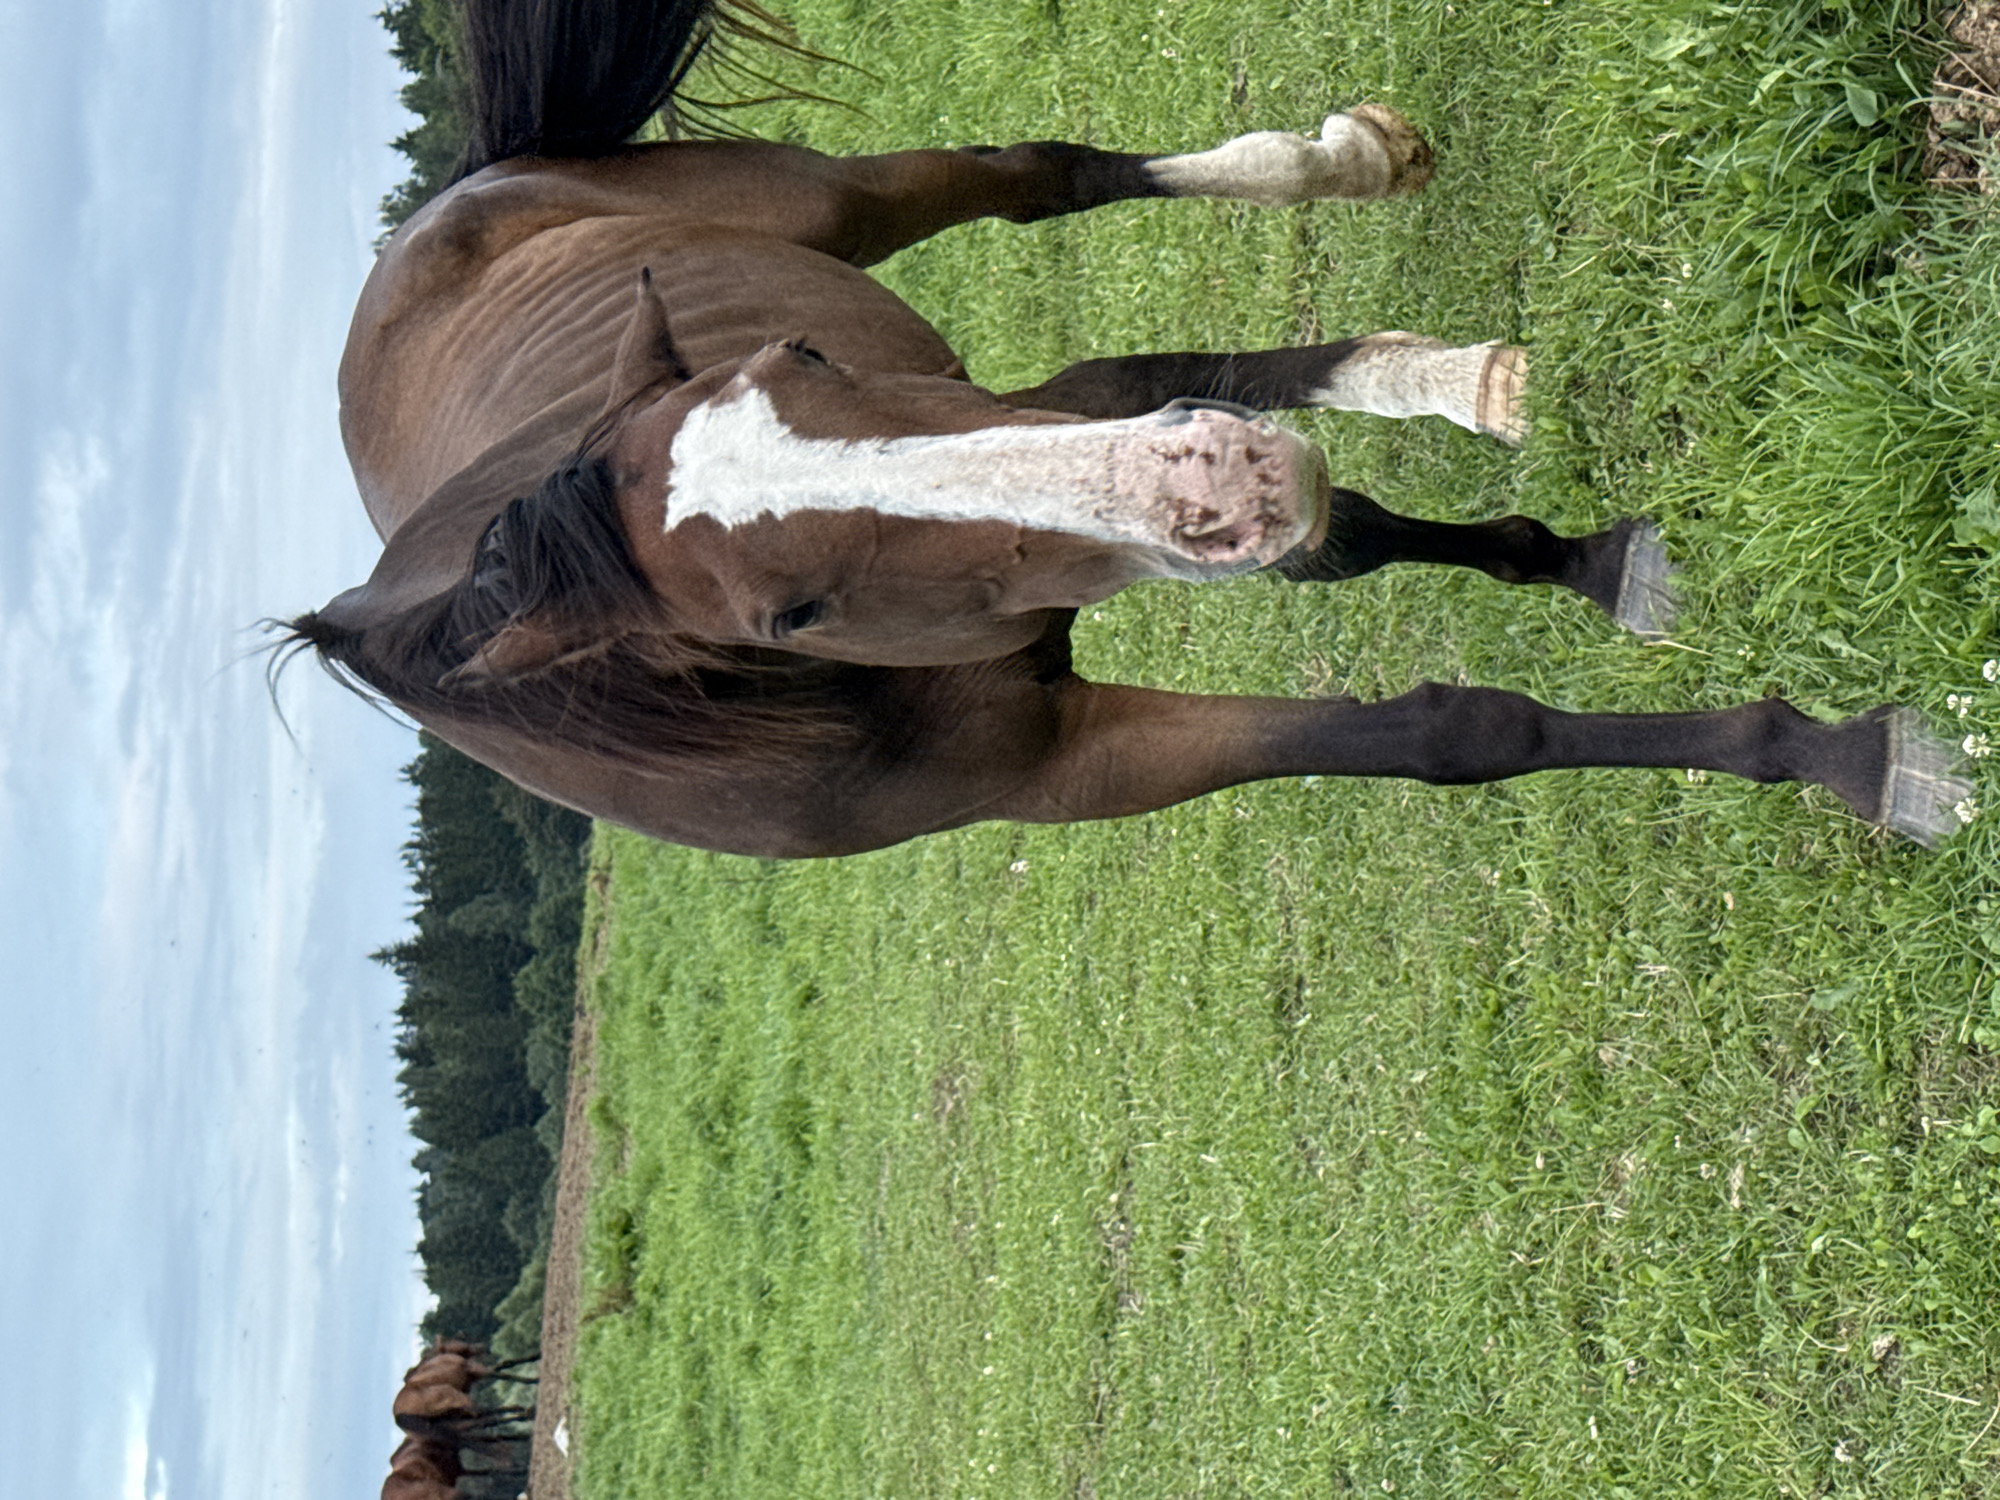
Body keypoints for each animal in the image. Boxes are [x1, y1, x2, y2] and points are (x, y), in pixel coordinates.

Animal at [286, 0, 1969, 856]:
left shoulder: (1024, 430)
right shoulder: (1073, 766)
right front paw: (1833, 740)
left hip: (843, 217)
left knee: (1052, 184)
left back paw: (1355, 187)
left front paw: (1844, 746)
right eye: (786, 614)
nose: (1218, 483)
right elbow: (1437, 721)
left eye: (800, 348)